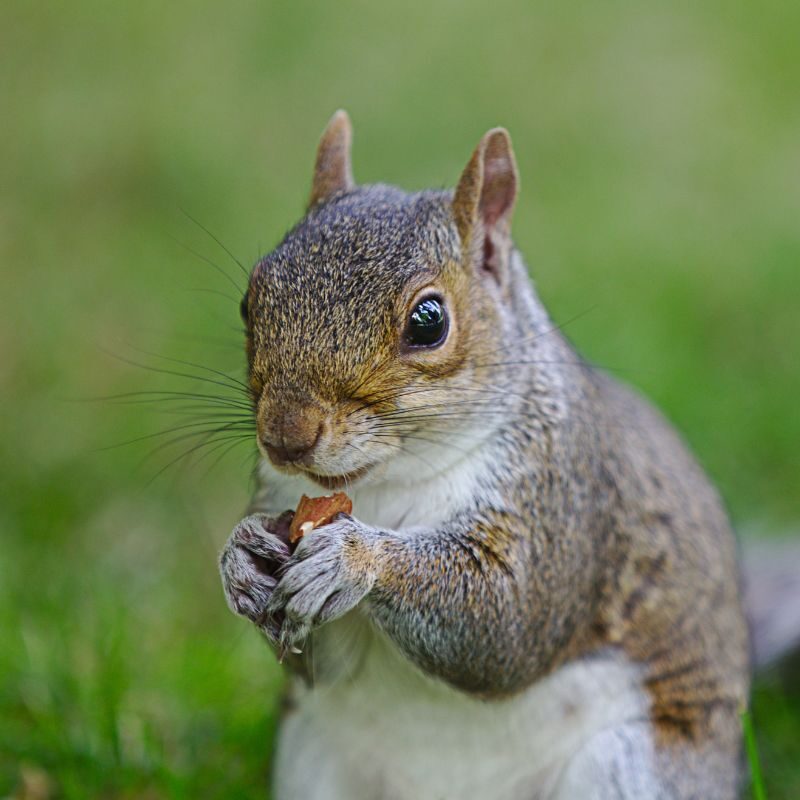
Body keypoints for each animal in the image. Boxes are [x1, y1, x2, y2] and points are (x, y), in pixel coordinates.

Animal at [218, 110, 790, 799]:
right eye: (250, 301)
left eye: (429, 321)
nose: (285, 435)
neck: (389, 483)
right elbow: (315, 663)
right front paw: (240, 558)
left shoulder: (563, 496)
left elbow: (507, 622)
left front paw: (354, 558)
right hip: (312, 761)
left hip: (630, 767)